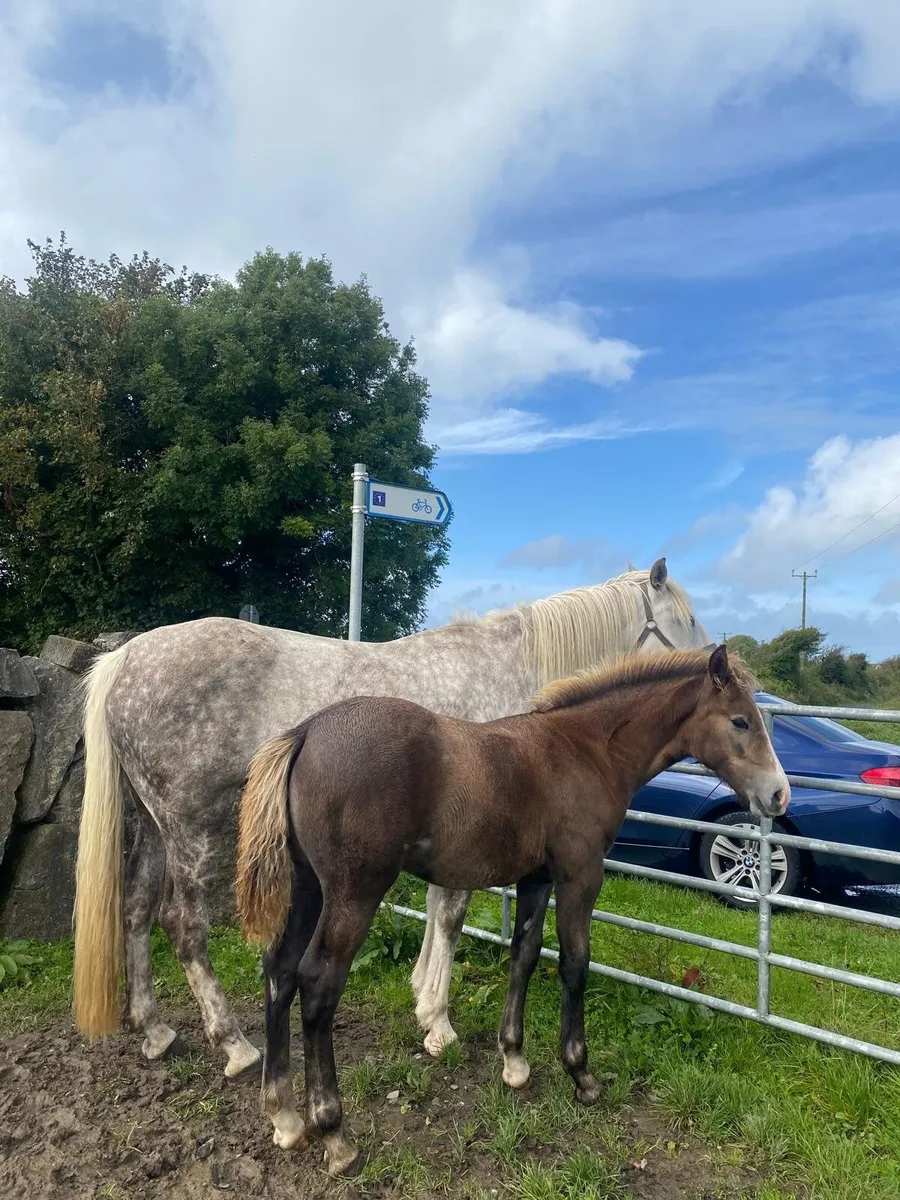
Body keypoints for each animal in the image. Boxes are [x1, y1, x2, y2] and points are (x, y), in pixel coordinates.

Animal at [72, 559, 712, 1078]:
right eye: (687, 618)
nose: (721, 665)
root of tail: (124, 658)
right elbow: (451, 916)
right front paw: (439, 1024)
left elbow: (436, 912)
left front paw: (423, 1002)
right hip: (192, 830)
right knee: (183, 925)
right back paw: (234, 1046)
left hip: (153, 826)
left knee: (135, 911)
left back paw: (155, 1031)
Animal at [235, 645, 789, 1175]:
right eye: (741, 720)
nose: (779, 794)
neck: (586, 751)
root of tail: (306, 731)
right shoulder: (580, 876)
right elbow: (574, 964)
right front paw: (581, 1074)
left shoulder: (536, 879)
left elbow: (524, 954)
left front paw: (515, 1062)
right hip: (354, 892)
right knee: (318, 982)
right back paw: (335, 1134)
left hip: (307, 887)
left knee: (279, 971)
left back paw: (285, 1117)